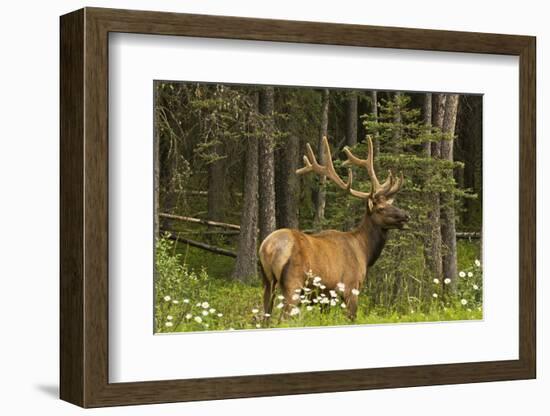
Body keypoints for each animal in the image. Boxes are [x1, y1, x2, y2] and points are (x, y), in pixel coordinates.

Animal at [258, 136, 410, 318]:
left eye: (390, 203)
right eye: (380, 208)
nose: (406, 216)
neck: (364, 252)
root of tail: (268, 248)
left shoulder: (326, 297)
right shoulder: (351, 287)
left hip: (267, 282)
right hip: (293, 283)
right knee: (283, 317)